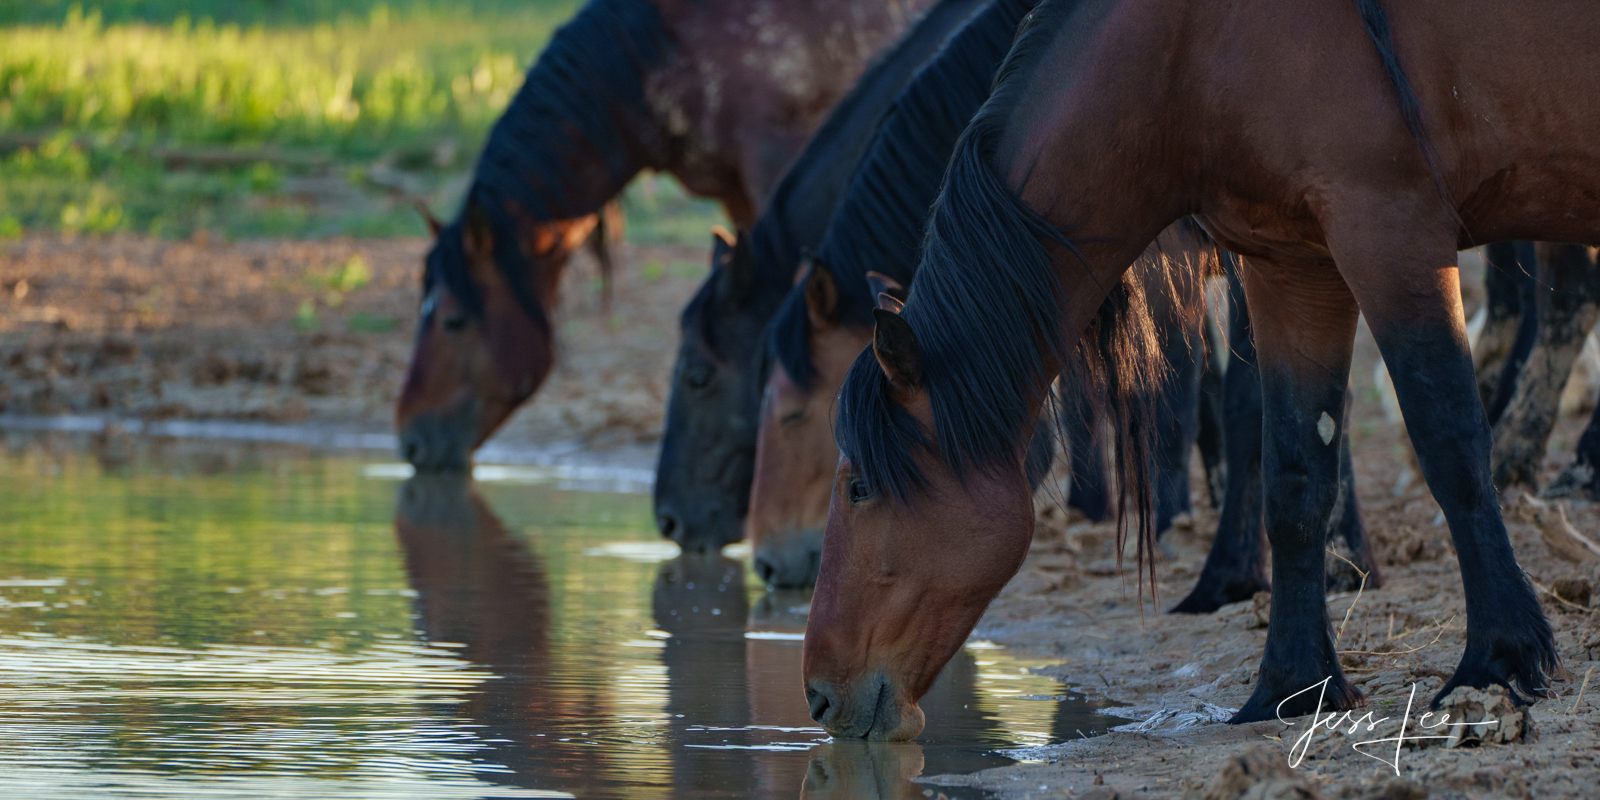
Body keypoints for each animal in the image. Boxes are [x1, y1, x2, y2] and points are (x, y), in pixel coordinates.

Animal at [793, 0, 1568, 739]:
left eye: (859, 487)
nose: (818, 697)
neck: (1189, 55)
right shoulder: (1296, 260)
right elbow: (1293, 473)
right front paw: (1292, 685)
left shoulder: (1391, 229)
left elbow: (1448, 440)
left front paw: (1498, 658)